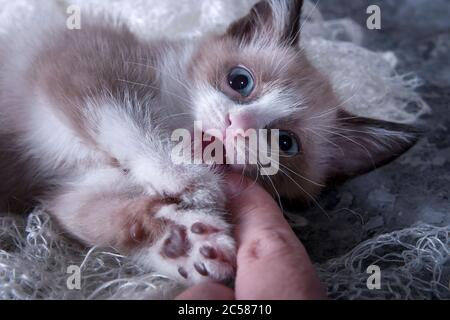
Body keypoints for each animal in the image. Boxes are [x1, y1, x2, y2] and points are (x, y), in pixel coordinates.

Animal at [0, 0, 418, 284]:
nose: (237, 125)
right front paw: (190, 177)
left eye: (285, 143)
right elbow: (124, 123)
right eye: (239, 81)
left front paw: (183, 243)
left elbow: (105, 215)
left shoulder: (75, 189)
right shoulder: (75, 65)